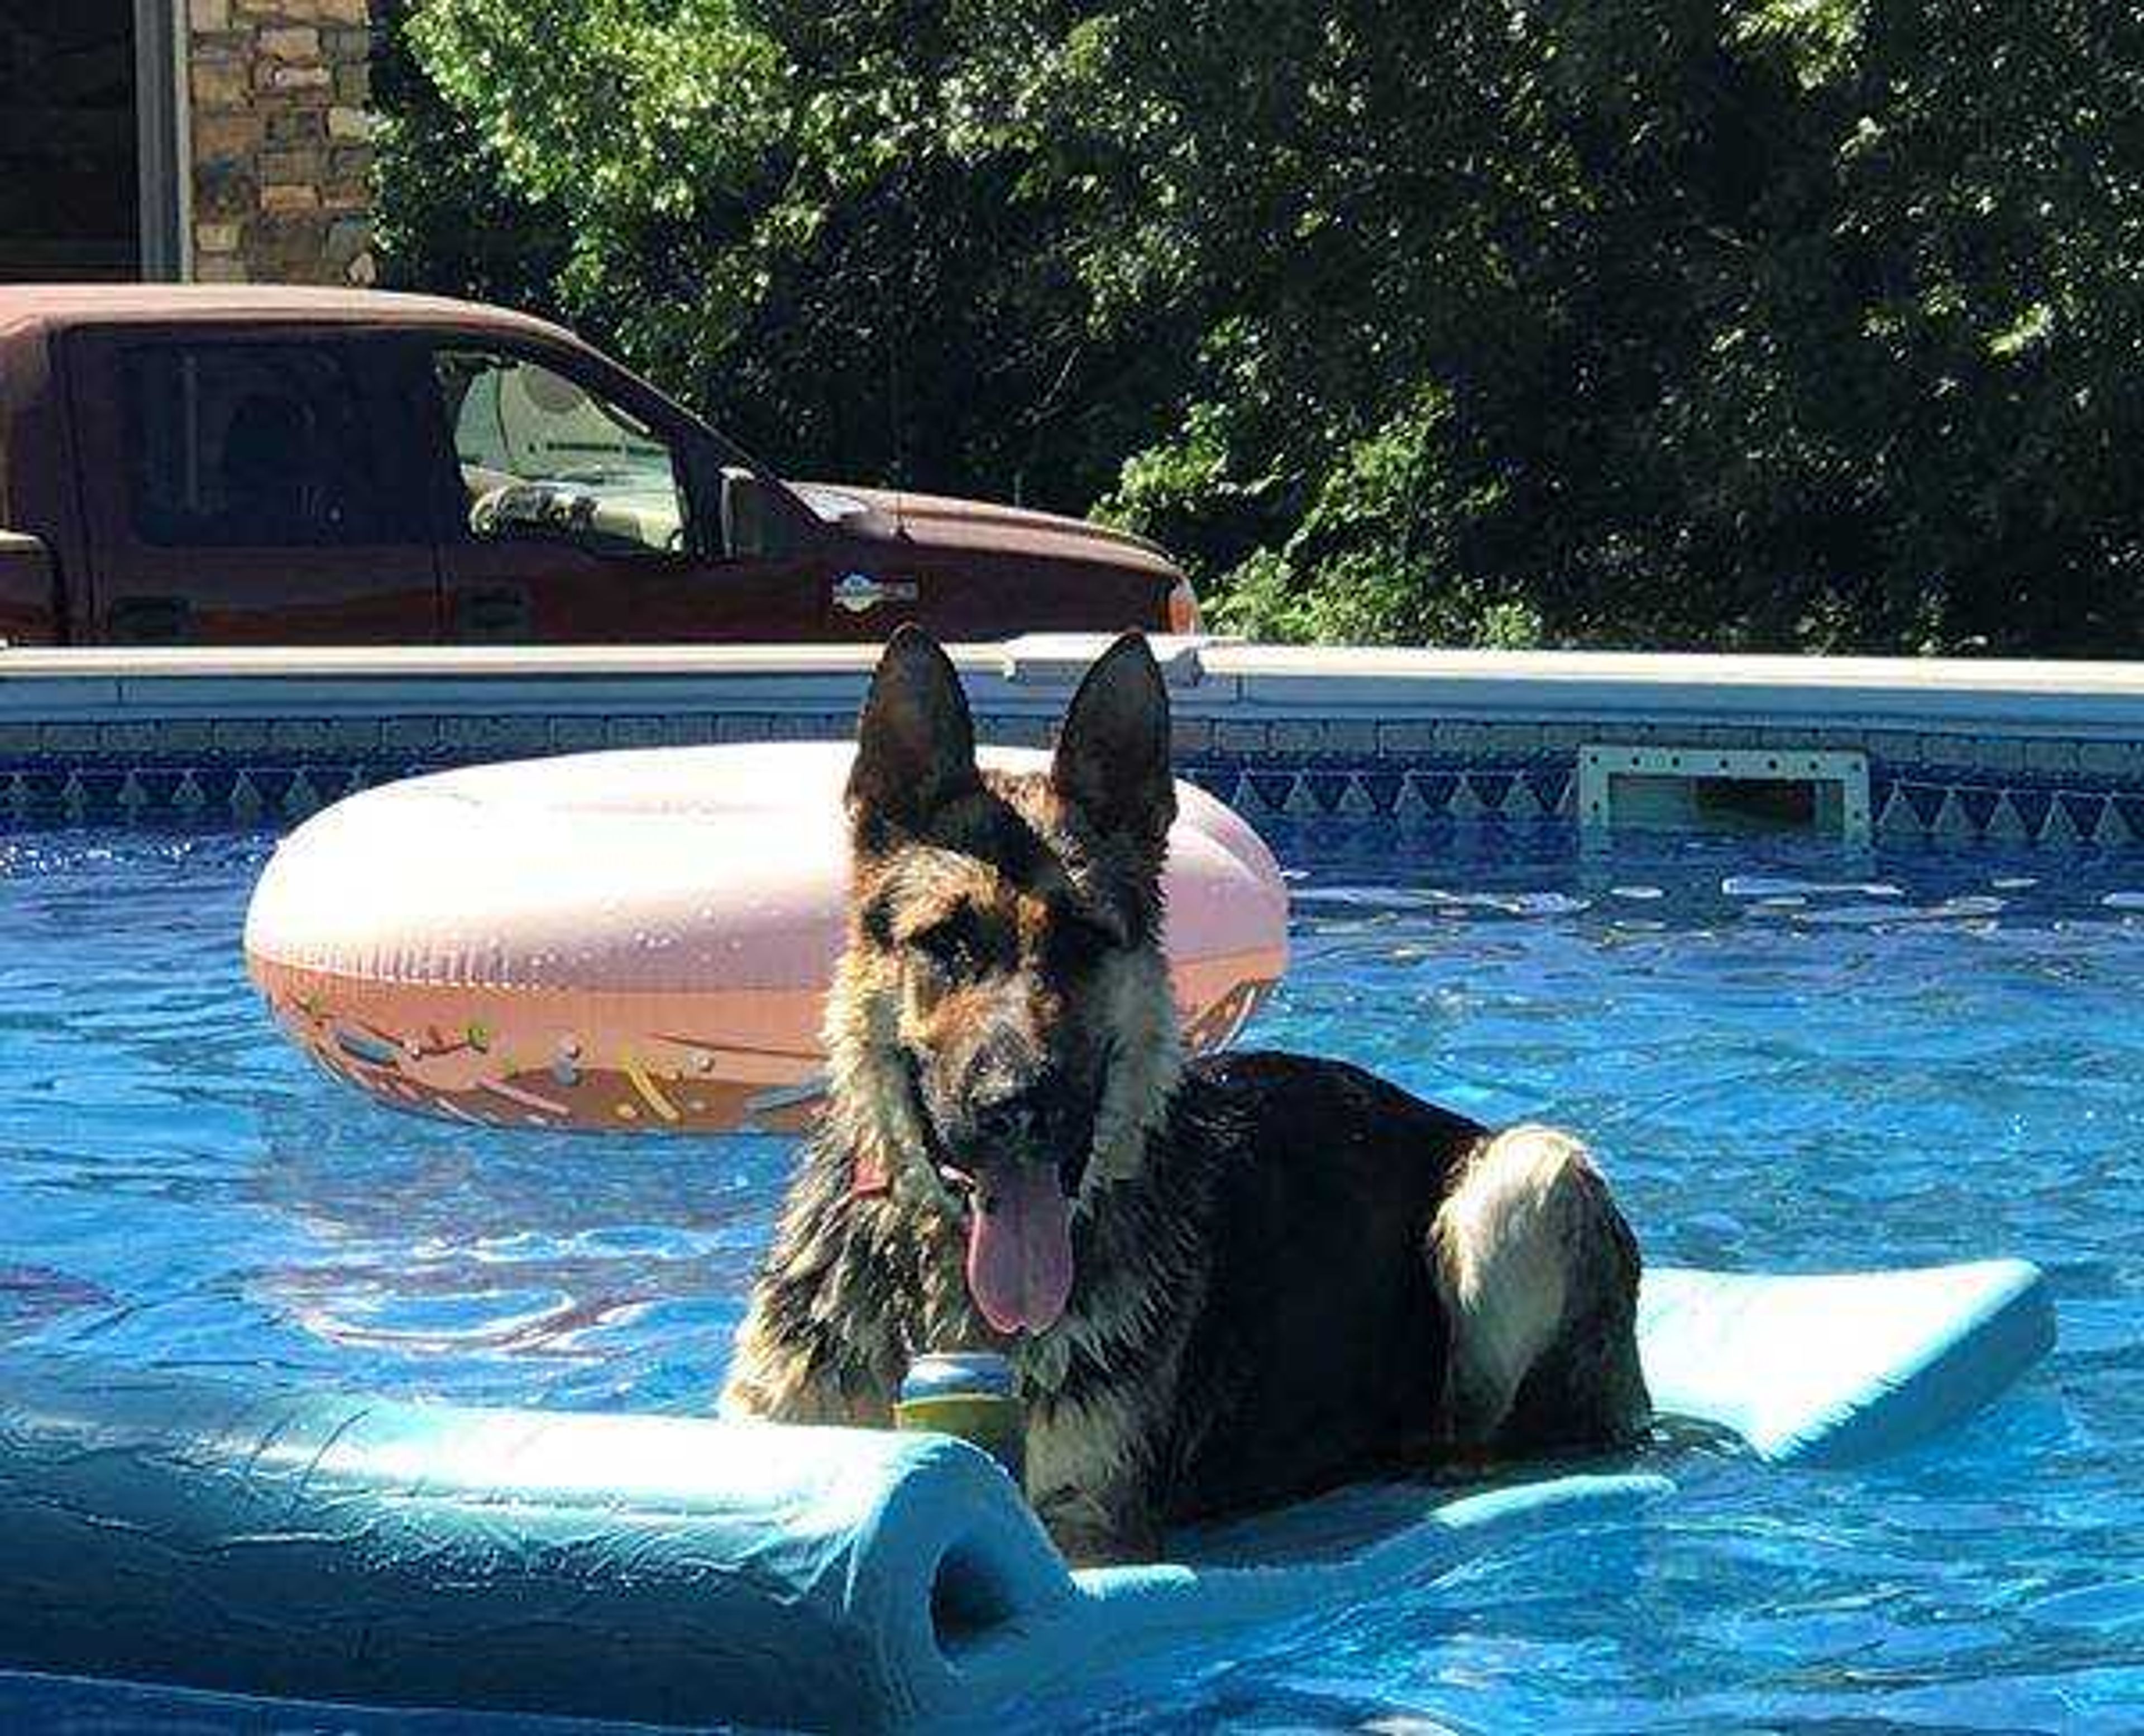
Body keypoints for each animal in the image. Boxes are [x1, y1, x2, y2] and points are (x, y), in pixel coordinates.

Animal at [729, 626, 1647, 1551]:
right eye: (947, 942)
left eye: (1087, 941)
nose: (1020, 1107)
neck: (937, 1269)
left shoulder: (1088, 1526)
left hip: (1528, 1176)